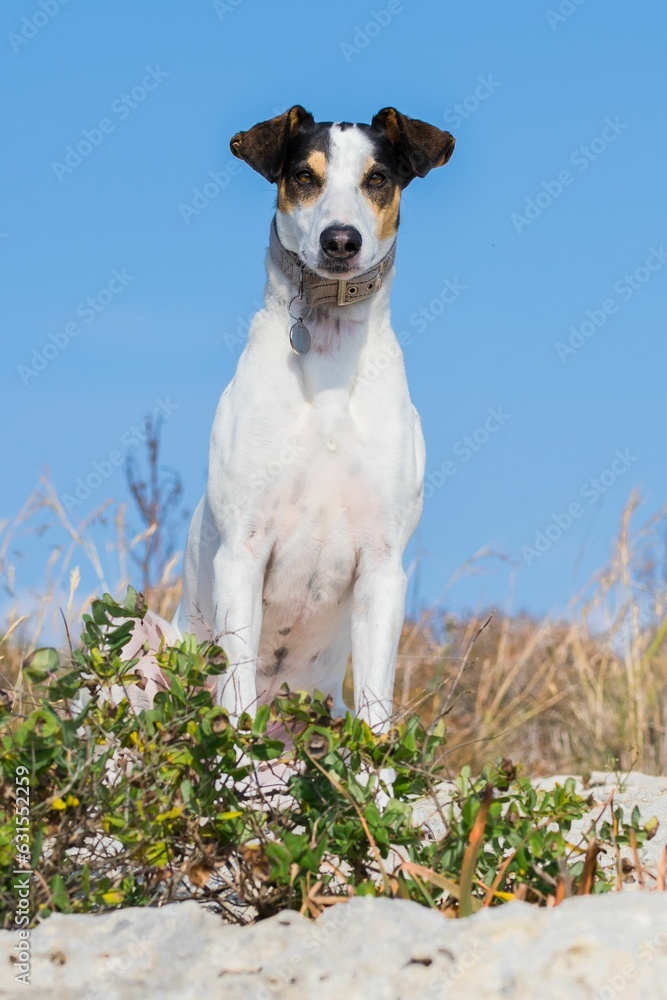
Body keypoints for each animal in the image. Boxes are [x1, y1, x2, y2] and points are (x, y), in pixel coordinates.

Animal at [172, 109, 456, 732]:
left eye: (377, 179)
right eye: (305, 176)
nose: (341, 241)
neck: (327, 361)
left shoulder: (383, 568)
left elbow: (378, 716)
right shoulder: (242, 553)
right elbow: (236, 703)